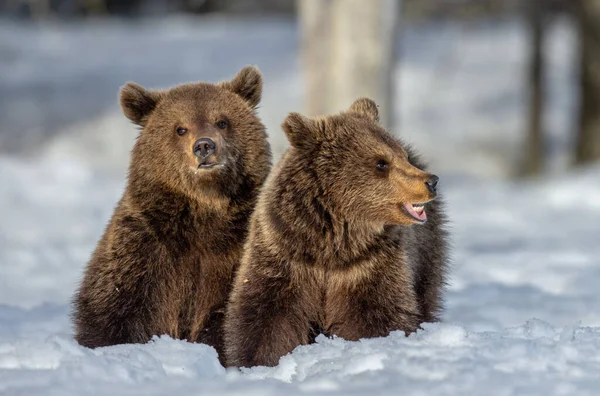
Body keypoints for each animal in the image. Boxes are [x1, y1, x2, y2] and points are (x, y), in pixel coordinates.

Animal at [71, 66, 270, 364]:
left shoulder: (237, 249)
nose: (204, 146)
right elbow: (113, 307)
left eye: (222, 121)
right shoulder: (146, 247)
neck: (204, 212)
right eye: (180, 128)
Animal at [223, 98, 448, 368]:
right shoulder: (285, 254)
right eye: (381, 163)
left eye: (401, 156)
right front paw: (256, 361)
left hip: (426, 254)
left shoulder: (368, 265)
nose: (431, 181)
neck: (332, 244)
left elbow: (377, 314)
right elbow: (267, 315)